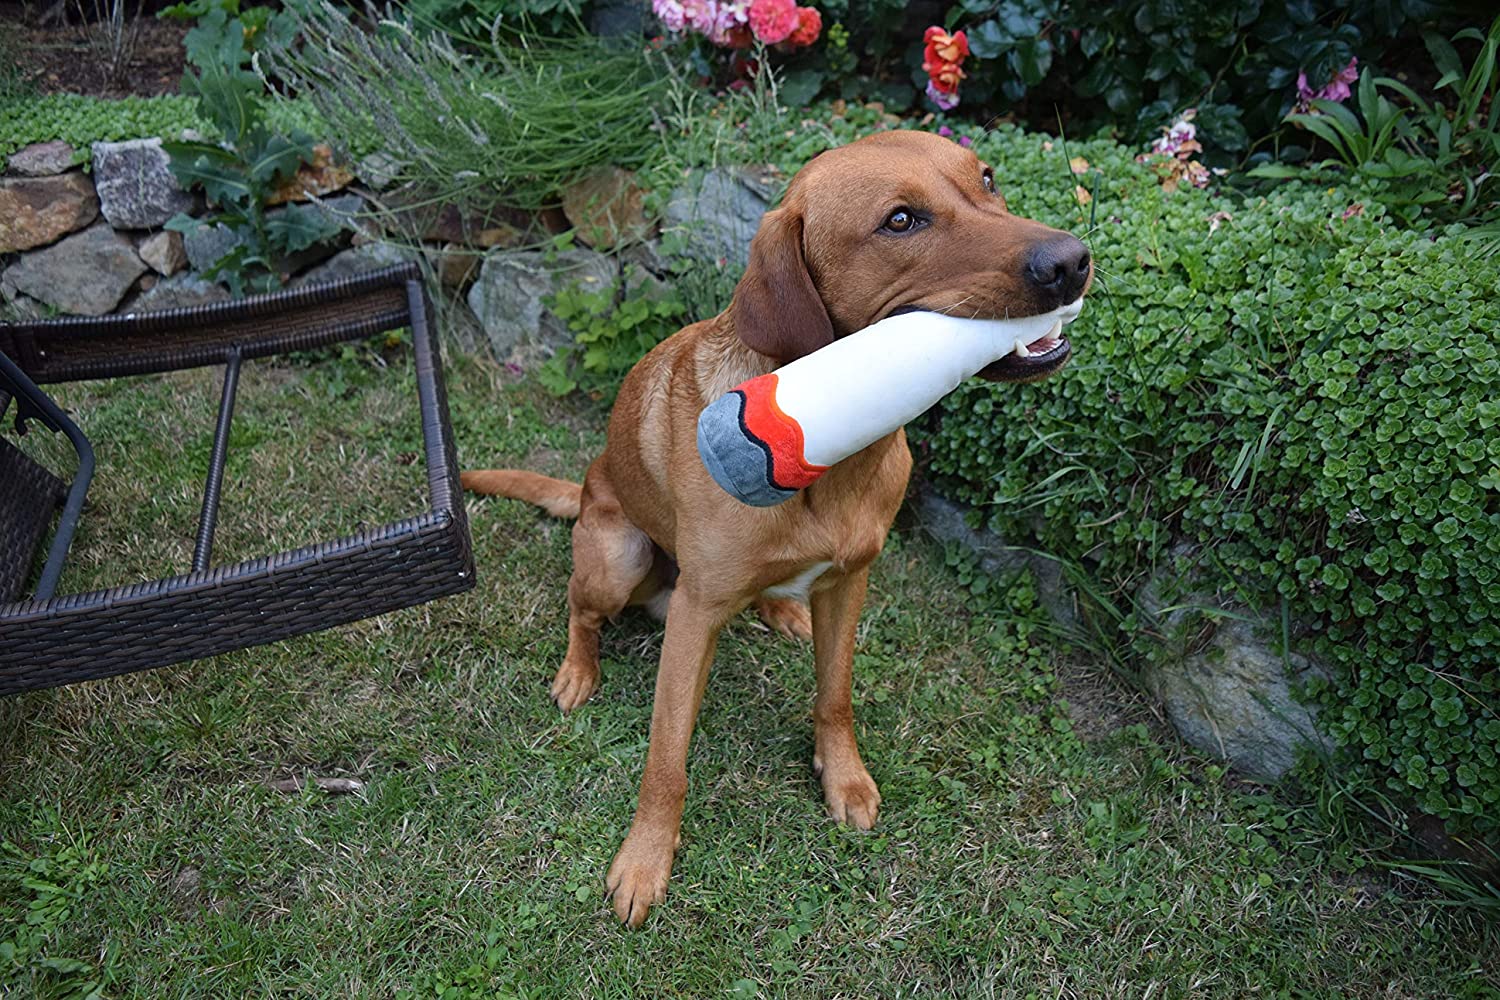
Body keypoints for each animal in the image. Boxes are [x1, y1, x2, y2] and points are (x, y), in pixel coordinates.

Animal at [462, 128, 1086, 929]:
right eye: (901, 221)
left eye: (987, 179)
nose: (1072, 260)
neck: (839, 452)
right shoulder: (694, 617)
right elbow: (666, 759)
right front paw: (644, 861)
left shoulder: (852, 582)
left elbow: (835, 696)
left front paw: (843, 778)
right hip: (618, 556)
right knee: (581, 609)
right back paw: (579, 670)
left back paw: (781, 610)